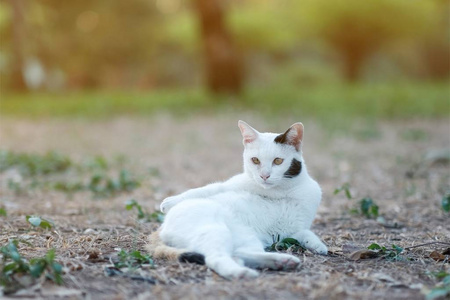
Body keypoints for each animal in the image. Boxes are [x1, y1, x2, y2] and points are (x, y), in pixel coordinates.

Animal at [148, 120, 326, 280]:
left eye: (278, 161)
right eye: (255, 160)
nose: (264, 176)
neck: (281, 192)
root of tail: (161, 230)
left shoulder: (294, 229)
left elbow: (306, 233)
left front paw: (319, 246)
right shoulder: (232, 184)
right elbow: (207, 189)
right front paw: (169, 201)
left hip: (248, 238)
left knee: (239, 253)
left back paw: (281, 261)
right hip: (215, 230)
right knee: (215, 258)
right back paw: (242, 272)